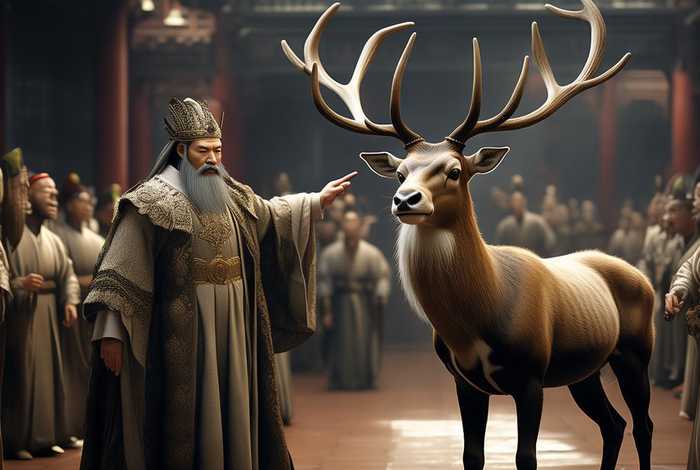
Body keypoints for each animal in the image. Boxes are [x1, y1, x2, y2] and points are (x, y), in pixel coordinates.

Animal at [282, 2, 654, 469]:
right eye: (401, 173)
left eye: (455, 171)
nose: (406, 200)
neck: (481, 312)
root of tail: (641, 276)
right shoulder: (464, 379)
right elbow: (471, 455)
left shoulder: (531, 374)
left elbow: (526, 457)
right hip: (584, 368)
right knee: (613, 423)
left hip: (636, 350)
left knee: (642, 424)